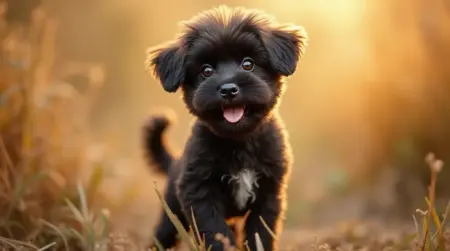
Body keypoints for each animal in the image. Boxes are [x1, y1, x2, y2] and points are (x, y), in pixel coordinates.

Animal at [143, 5, 306, 251]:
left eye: (248, 64)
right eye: (206, 70)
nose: (228, 89)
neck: (239, 141)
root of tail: (174, 162)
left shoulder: (269, 192)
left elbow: (260, 233)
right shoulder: (199, 191)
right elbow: (215, 231)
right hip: (171, 213)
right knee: (162, 235)